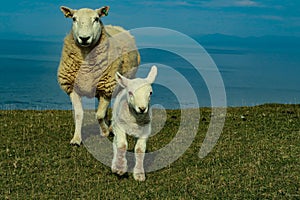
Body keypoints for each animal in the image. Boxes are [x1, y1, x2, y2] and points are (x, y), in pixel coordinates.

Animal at [57, 5, 141, 145]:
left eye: (96, 19)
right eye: (74, 19)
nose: (84, 38)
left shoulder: (107, 88)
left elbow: (99, 115)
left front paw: (106, 131)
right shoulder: (73, 88)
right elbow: (79, 114)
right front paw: (76, 139)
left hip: (121, 85)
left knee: (116, 107)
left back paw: (111, 128)